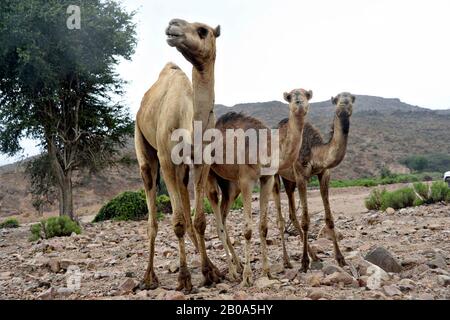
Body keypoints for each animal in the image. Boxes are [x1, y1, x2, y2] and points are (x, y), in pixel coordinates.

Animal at [135, 18, 223, 292]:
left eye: (203, 30)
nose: (173, 25)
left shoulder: (202, 160)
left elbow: (199, 221)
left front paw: (209, 272)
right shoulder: (167, 160)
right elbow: (178, 222)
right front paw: (184, 278)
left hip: (183, 168)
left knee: (185, 200)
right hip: (145, 151)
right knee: (152, 219)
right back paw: (148, 277)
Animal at [206, 89, 312, 286]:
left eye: (306, 95)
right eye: (290, 97)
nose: (299, 102)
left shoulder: (267, 178)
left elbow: (263, 227)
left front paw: (267, 272)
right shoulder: (246, 179)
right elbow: (248, 229)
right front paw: (248, 277)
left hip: (230, 185)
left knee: (223, 216)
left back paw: (238, 265)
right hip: (209, 174)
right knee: (216, 219)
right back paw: (233, 273)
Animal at [272, 92, 356, 272]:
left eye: (352, 98)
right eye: (337, 99)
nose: (343, 105)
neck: (314, 151)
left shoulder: (324, 174)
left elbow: (329, 219)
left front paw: (341, 259)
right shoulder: (301, 176)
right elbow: (306, 221)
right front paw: (304, 263)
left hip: (289, 181)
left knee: (292, 214)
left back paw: (315, 256)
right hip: (276, 175)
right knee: (280, 218)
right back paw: (287, 261)